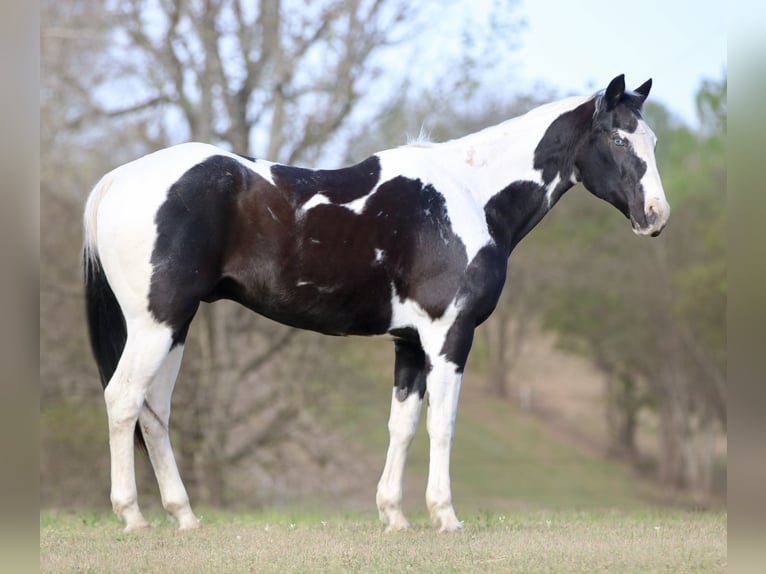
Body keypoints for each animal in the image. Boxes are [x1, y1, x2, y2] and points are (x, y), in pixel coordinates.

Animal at [83, 74, 669, 533]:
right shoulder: (450, 335)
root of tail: (117, 180)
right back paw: (132, 516)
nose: (656, 216)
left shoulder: (409, 343)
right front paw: (445, 516)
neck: (469, 196)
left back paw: (183, 517)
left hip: (174, 326)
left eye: (654, 141)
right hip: (155, 325)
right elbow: (442, 424)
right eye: (617, 138)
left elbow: (402, 425)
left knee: (154, 410)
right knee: (123, 399)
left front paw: (394, 516)